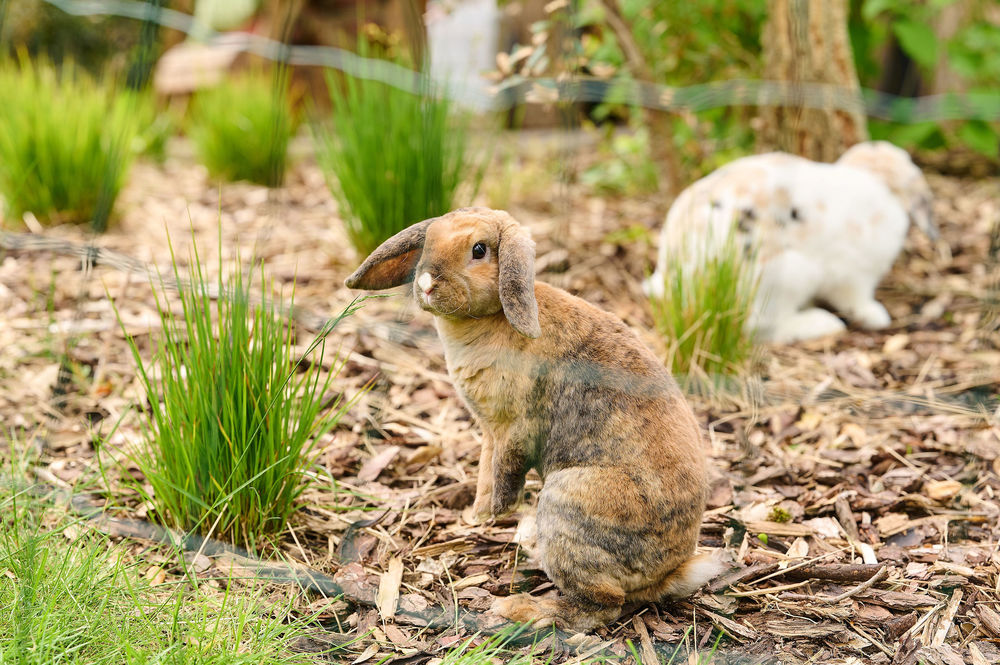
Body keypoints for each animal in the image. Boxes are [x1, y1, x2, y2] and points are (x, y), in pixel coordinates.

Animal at [346, 207, 723, 632]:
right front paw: (477, 516)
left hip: (567, 502)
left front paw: (498, 512)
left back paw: (521, 609)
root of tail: (670, 571)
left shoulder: (516, 427)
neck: (491, 318)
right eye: (428, 242)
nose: (426, 283)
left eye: (479, 250)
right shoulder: (489, 433)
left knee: (602, 604)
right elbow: (485, 473)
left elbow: (506, 469)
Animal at [643, 141, 935, 344]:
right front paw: (876, 316)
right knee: (761, 328)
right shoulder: (854, 276)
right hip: (788, 277)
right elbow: (855, 299)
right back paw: (823, 323)